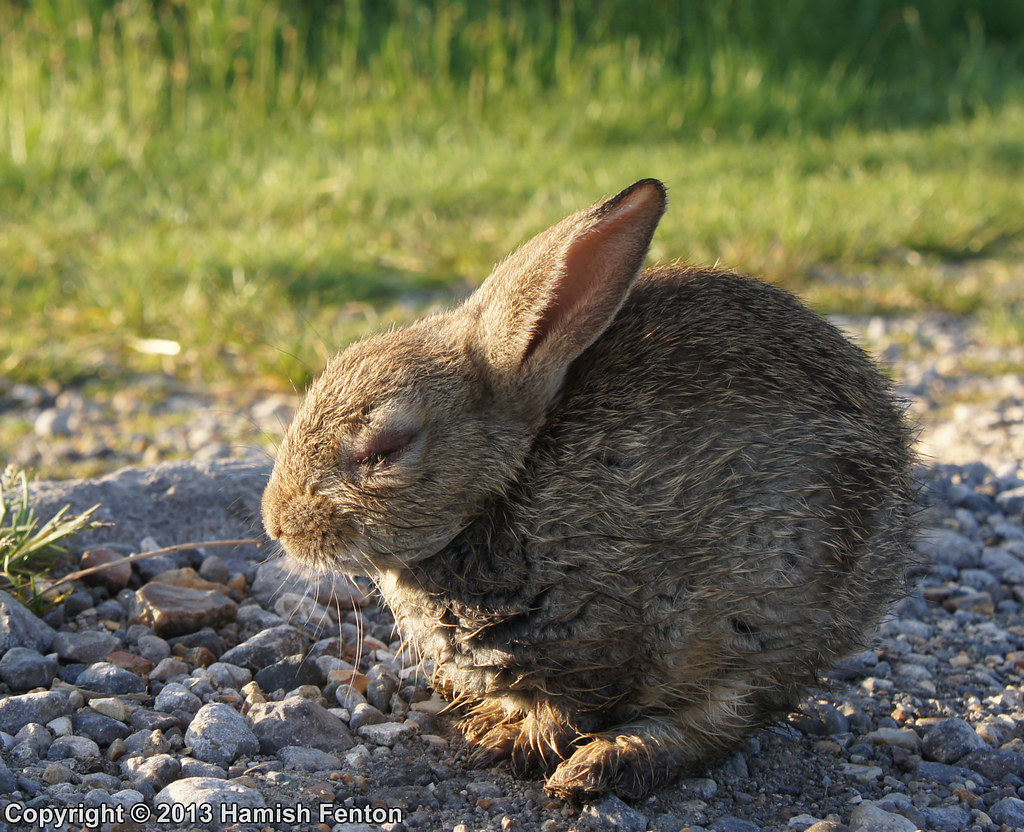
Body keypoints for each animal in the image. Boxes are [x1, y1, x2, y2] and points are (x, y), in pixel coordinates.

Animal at [261, 179, 916, 800]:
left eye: (386, 449)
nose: (277, 523)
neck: (498, 496)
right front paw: (490, 725)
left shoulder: (599, 639)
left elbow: (568, 710)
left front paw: (509, 744)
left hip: (779, 614)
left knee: (725, 714)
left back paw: (607, 764)